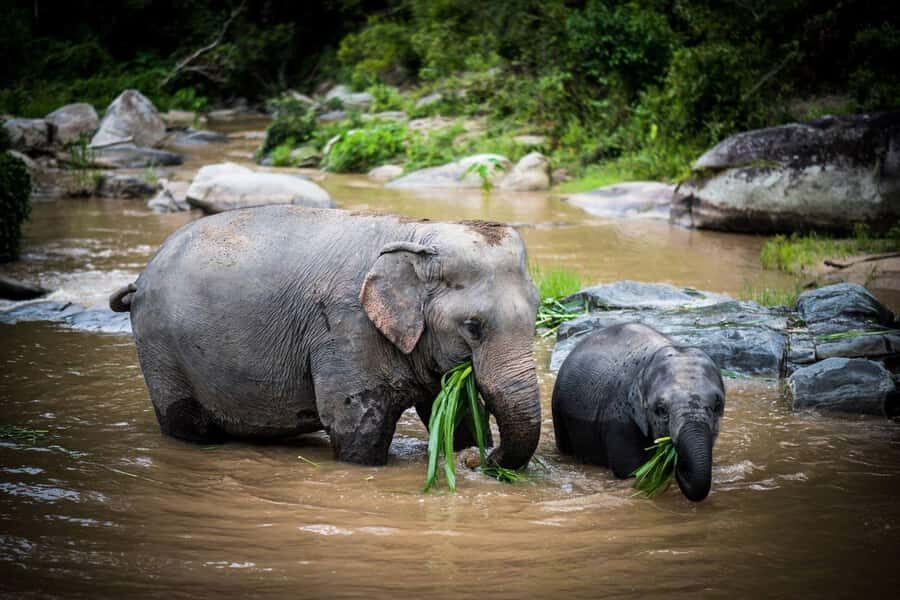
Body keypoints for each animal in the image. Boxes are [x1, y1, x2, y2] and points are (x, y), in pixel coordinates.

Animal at [109, 205, 541, 468]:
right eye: (473, 326)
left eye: (537, 315)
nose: (479, 460)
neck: (415, 232)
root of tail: (138, 281)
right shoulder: (344, 326)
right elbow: (357, 424)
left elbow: (456, 413)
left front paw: (463, 448)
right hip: (161, 348)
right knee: (185, 424)